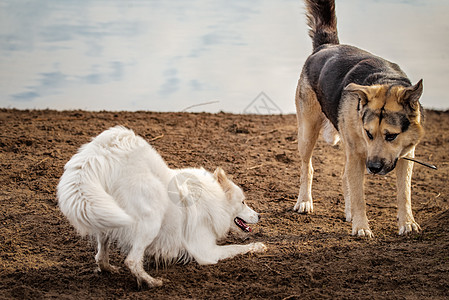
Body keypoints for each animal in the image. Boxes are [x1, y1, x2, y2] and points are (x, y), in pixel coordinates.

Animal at [57, 125, 266, 288]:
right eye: (243, 202)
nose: (259, 215)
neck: (214, 199)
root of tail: (103, 152)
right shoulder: (207, 252)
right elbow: (238, 247)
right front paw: (259, 246)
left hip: (105, 215)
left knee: (100, 256)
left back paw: (109, 269)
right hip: (151, 220)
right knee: (132, 261)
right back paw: (151, 282)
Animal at [294, 0, 424, 239]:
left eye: (391, 136)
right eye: (369, 133)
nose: (373, 167)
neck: (385, 80)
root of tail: (326, 46)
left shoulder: (405, 156)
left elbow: (404, 194)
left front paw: (408, 223)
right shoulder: (358, 155)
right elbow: (359, 196)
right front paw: (362, 226)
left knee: (344, 176)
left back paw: (348, 211)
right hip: (307, 133)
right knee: (308, 167)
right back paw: (305, 201)